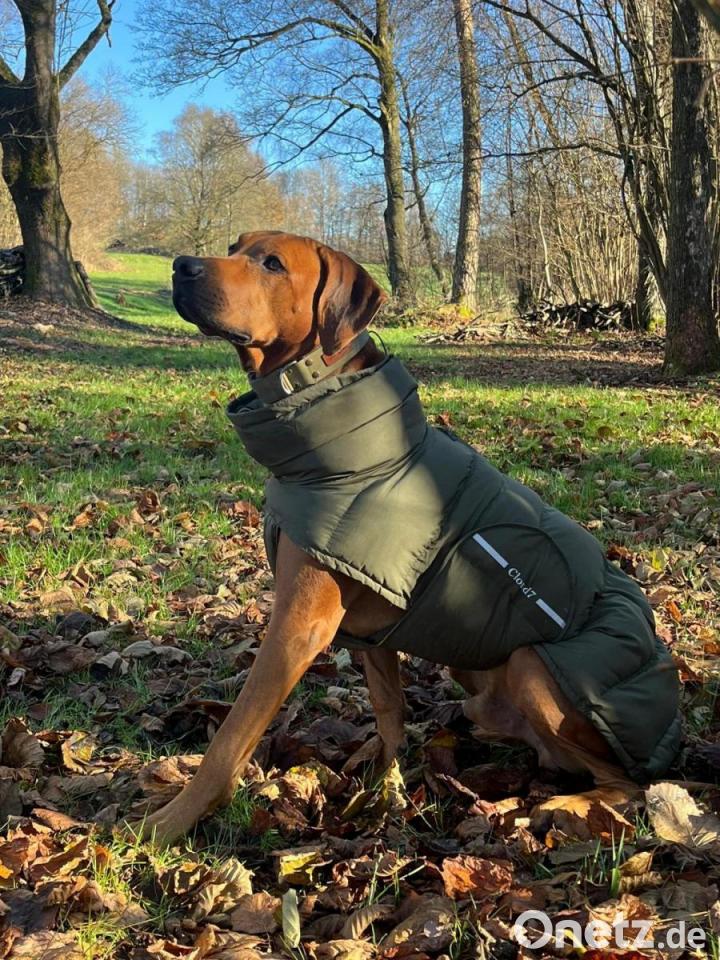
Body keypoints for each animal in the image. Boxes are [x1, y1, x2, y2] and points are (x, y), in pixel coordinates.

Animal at [135, 231, 680, 845]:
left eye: (272, 263)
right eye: (234, 246)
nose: (181, 266)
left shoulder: (299, 626)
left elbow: (231, 736)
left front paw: (168, 822)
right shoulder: (372, 628)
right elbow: (390, 712)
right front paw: (383, 787)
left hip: (536, 668)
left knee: (627, 785)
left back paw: (557, 807)